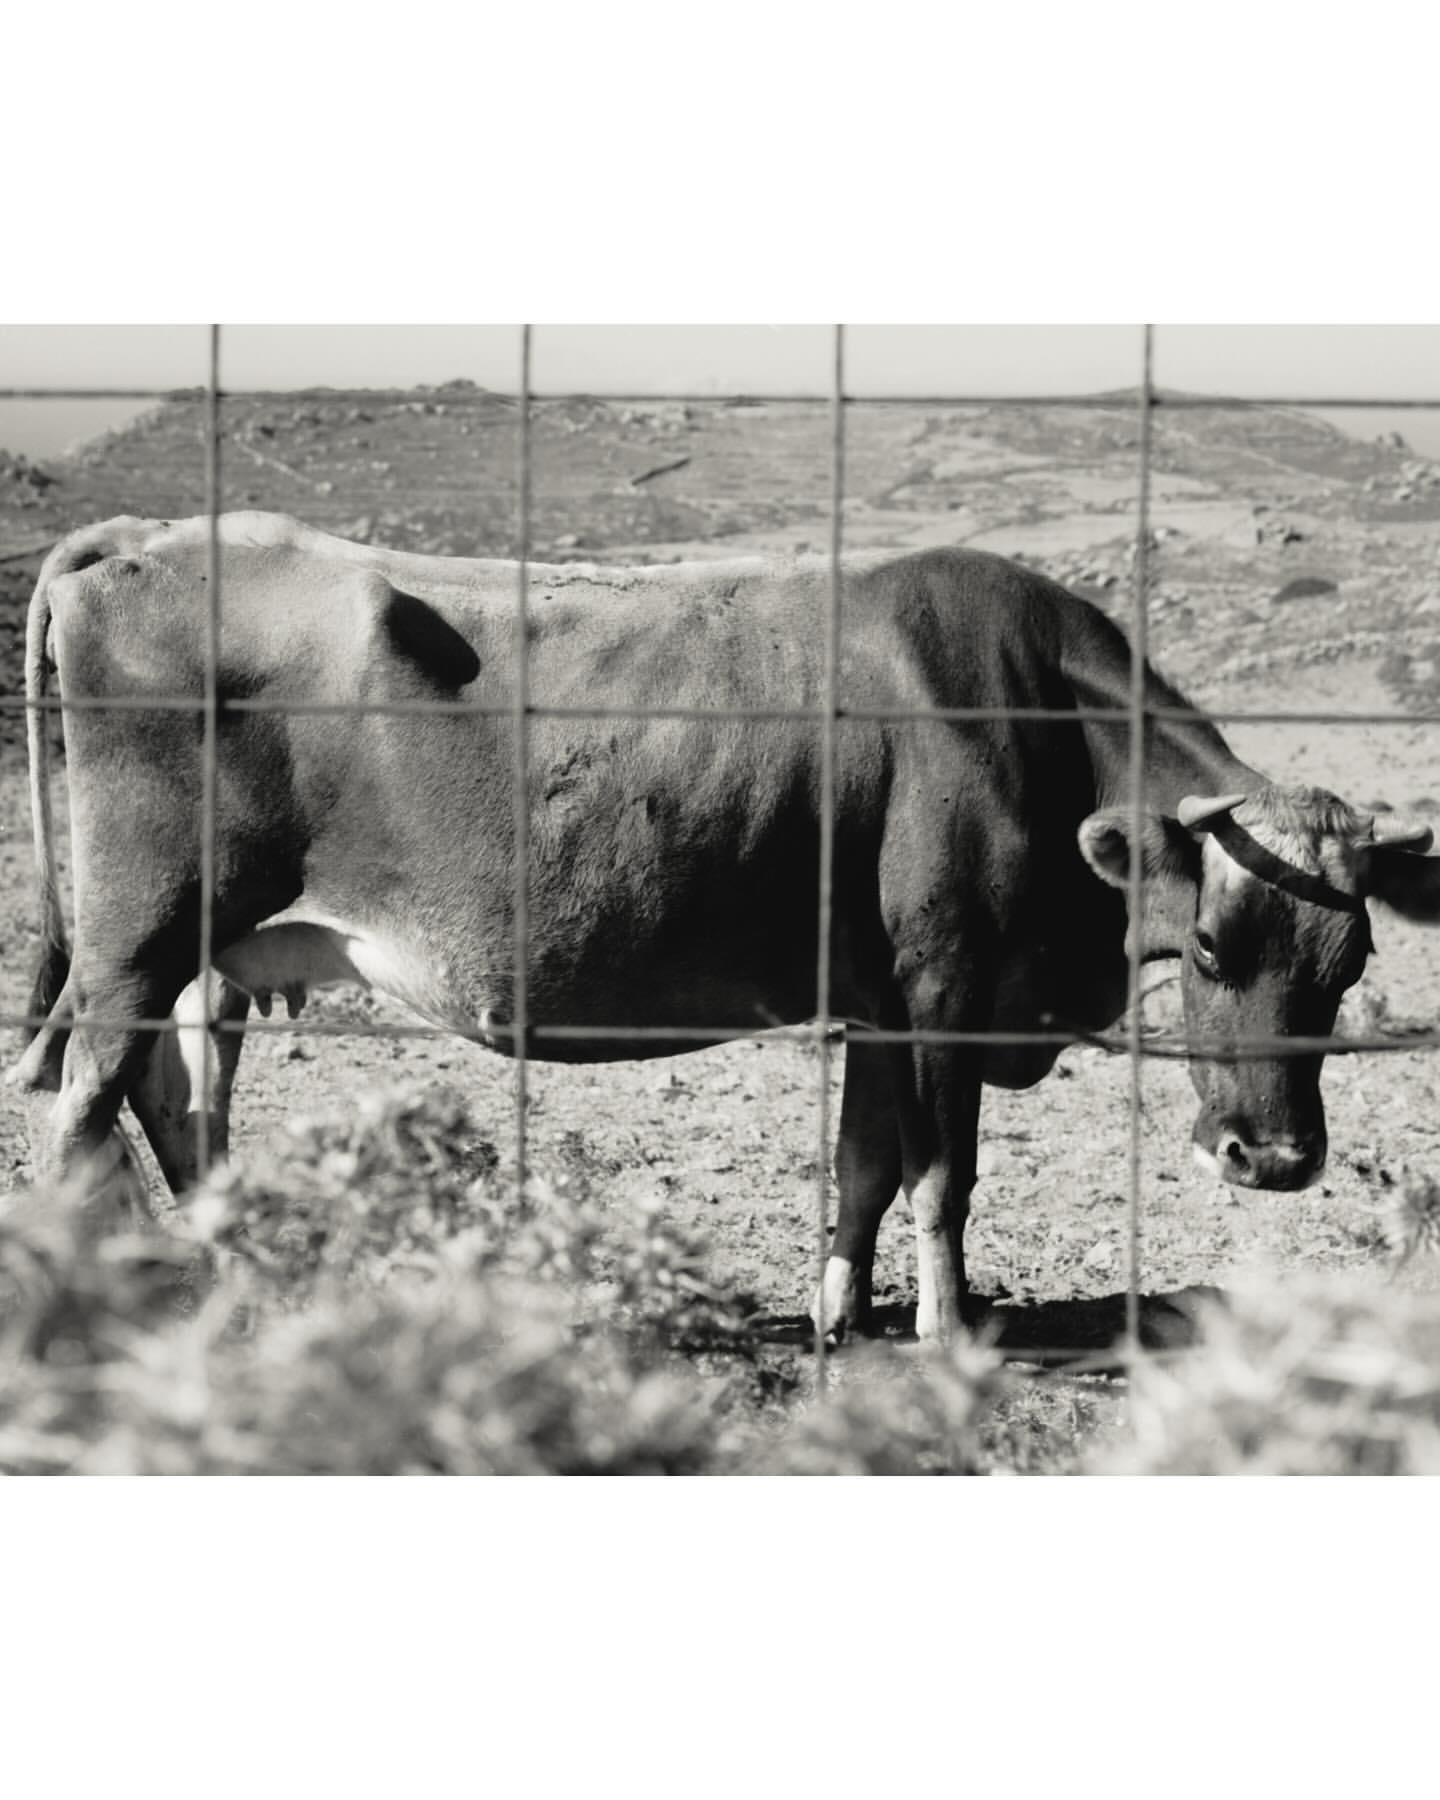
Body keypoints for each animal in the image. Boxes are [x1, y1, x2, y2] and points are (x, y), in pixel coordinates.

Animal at [12, 512, 1440, 1341]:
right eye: (1207, 949)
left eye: (1354, 960)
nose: (1276, 1161)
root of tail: (140, 538)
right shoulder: (944, 986)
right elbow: (942, 1179)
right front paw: (946, 1338)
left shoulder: (875, 1000)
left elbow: (864, 1170)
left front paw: (836, 1319)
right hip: (138, 935)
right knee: (82, 1105)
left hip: (198, 953)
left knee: (168, 1103)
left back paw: (234, 1280)